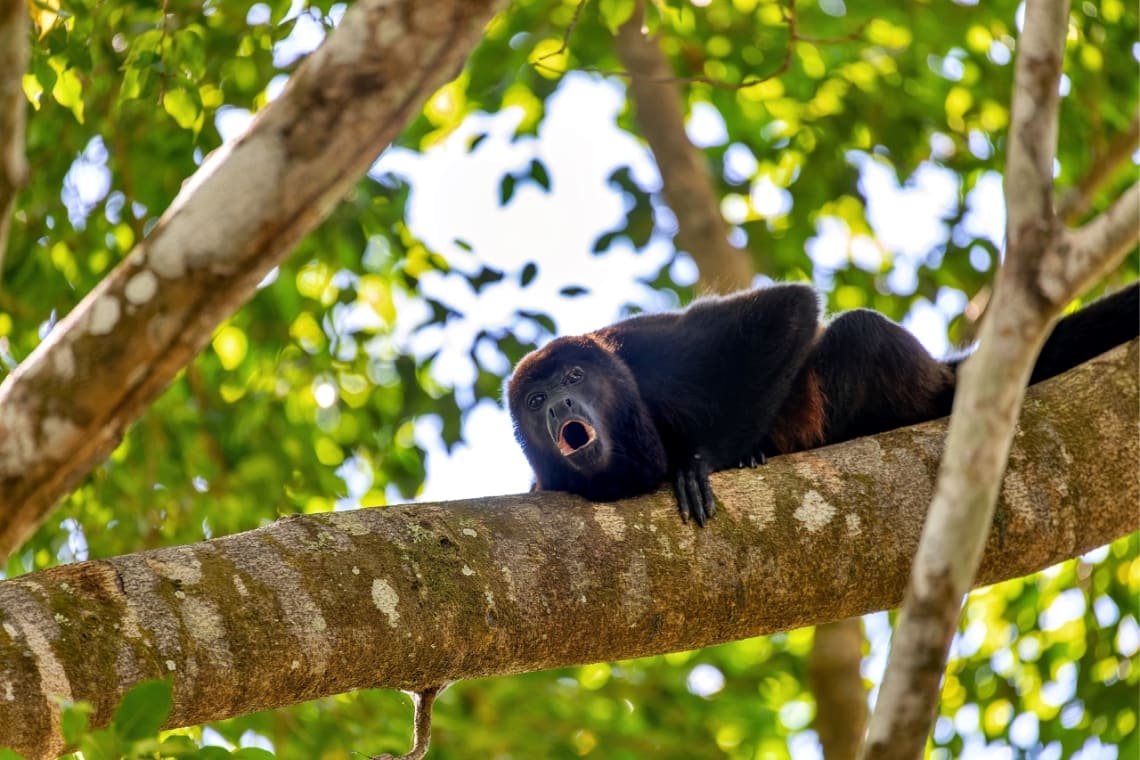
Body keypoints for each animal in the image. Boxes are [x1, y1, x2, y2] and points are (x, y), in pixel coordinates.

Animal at [508, 282, 1140, 526]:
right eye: (537, 399)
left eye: (575, 375)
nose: (559, 404)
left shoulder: (646, 347)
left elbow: (786, 309)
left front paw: (698, 464)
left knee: (858, 331)